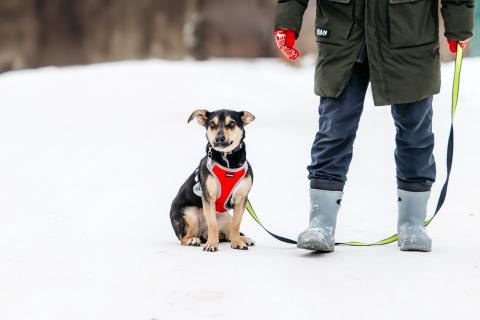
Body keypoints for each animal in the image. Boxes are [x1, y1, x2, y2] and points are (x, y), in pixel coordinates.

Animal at [171, 110, 256, 252]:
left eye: (231, 124)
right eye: (212, 124)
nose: (219, 138)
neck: (228, 161)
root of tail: (202, 234)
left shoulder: (241, 200)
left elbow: (236, 225)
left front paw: (237, 242)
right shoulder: (208, 198)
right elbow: (213, 224)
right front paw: (211, 244)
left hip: (226, 218)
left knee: (228, 233)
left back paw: (243, 238)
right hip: (189, 215)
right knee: (184, 238)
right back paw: (193, 240)